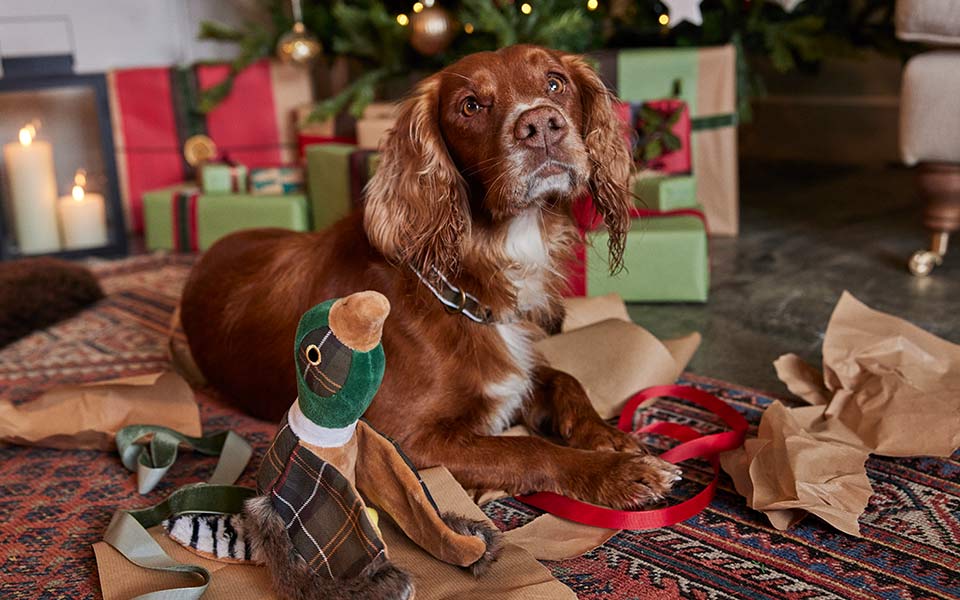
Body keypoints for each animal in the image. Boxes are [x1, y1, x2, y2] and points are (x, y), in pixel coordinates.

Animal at [178, 44, 676, 508]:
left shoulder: (521, 366)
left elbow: (564, 378)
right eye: (471, 105)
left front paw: (609, 438)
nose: (541, 125)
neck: (468, 280)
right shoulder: (398, 440)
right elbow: (528, 451)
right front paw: (618, 473)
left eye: (555, 83)